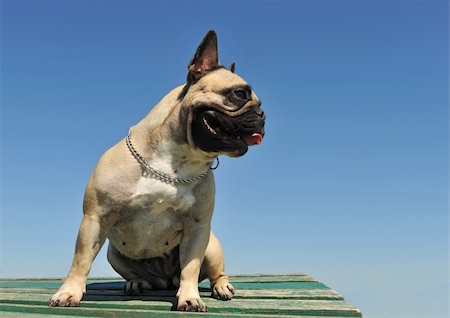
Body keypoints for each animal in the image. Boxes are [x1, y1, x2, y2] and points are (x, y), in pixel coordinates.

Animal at [49, 31, 266, 312]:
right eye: (239, 94)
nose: (262, 114)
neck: (175, 161)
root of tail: (166, 279)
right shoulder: (95, 218)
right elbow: (81, 260)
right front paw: (69, 292)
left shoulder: (198, 227)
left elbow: (190, 268)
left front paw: (190, 297)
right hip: (113, 253)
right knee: (136, 274)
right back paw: (137, 283)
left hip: (211, 244)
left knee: (212, 272)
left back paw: (222, 286)